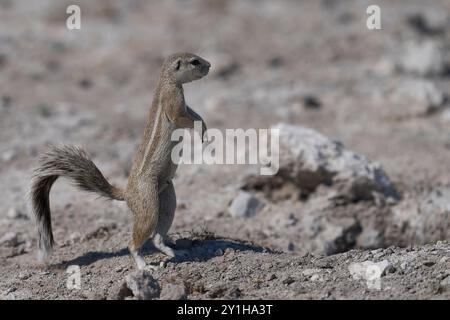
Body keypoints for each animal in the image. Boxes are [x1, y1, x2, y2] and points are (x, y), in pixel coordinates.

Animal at [31, 52, 211, 270]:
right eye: (195, 61)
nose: (210, 65)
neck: (166, 80)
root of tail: (127, 194)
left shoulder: (184, 104)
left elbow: (194, 113)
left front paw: (204, 128)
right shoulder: (173, 101)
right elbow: (183, 117)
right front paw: (201, 130)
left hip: (168, 198)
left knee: (157, 237)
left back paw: (175, 252)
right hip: (148, 204)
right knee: (134, 242)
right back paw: (144, 266)